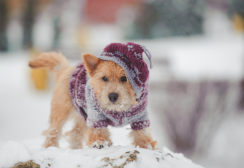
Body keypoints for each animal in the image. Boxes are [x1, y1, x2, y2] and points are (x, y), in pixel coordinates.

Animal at [29, 42, 158, 150]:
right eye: (104, 78)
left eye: (124, 78)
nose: (112, 96)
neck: (118, 109)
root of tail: (66, 70)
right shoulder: (96, 116)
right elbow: (98, 130)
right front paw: (100, 142)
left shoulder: (141, 117)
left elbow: (142, 132)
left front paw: (146, 144)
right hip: (61, 112)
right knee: (53, 131)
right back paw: (51, 147)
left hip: (82, 117)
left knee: (75, 133)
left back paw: (75, 149)